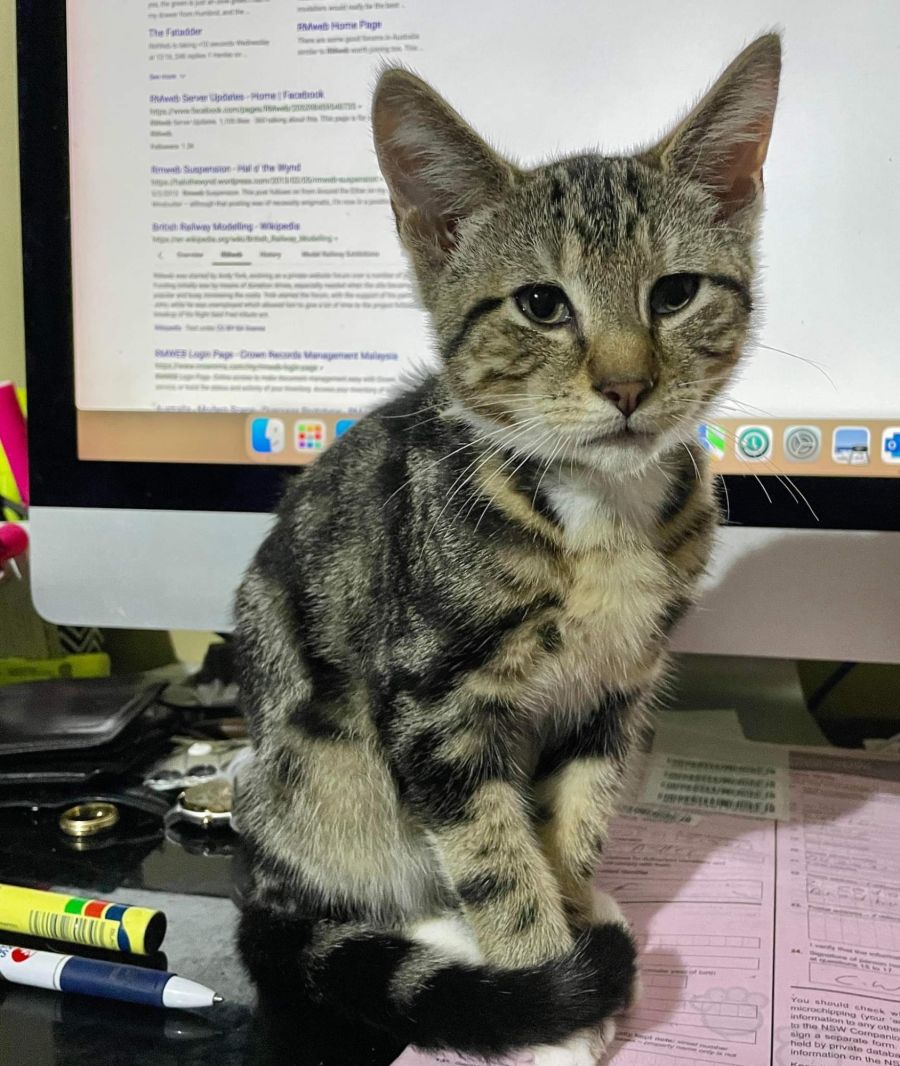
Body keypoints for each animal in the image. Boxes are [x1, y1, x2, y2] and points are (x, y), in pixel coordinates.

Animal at [234, 33, 781, 1065]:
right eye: (541, 304)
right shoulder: (434, 700)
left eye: (675, 292)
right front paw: (543, 989)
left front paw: (574, 906)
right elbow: (491, 849)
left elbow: (577, 812)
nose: (626, 385)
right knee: (349, 893)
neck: (598, 508)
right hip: (322, 764)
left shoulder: (617, 687)